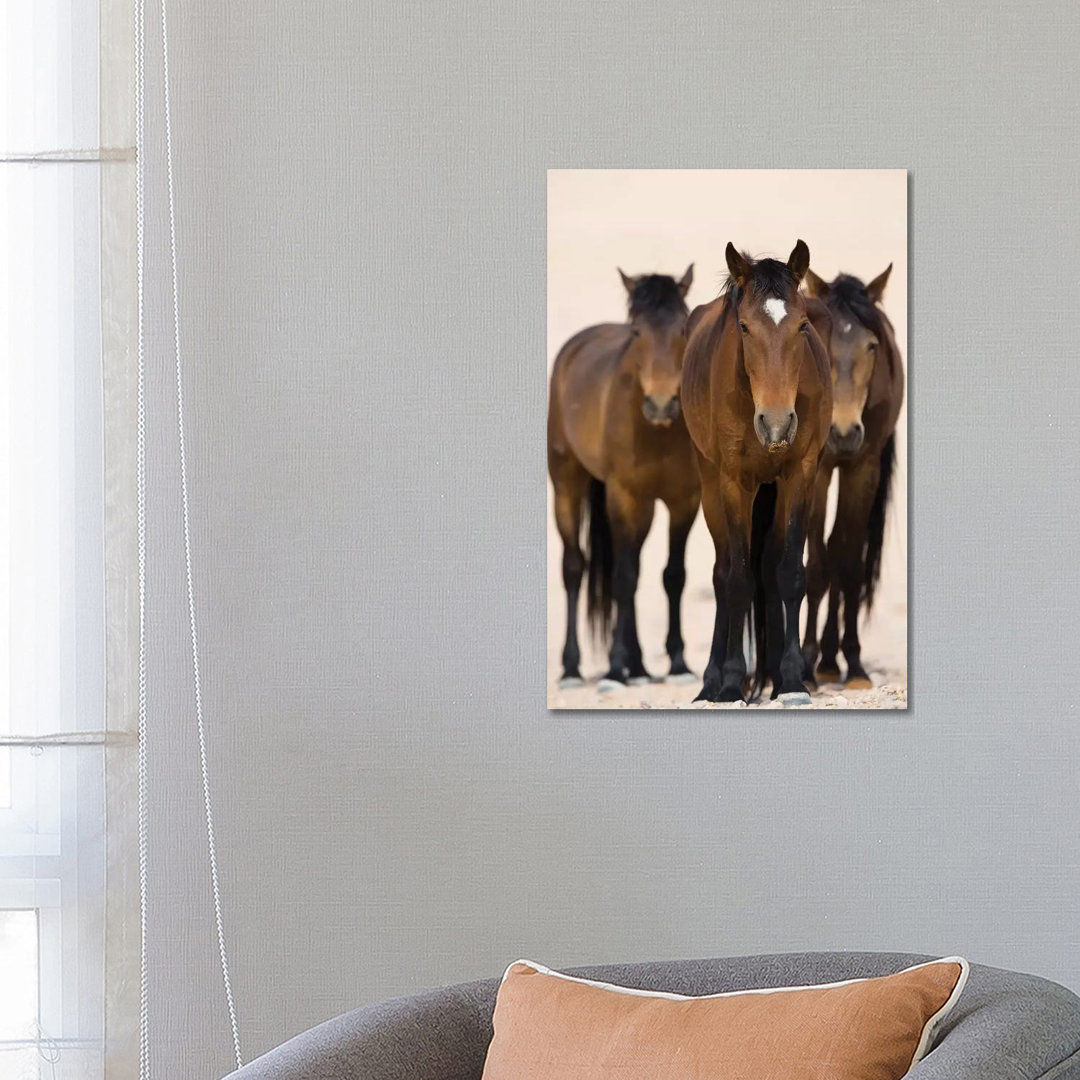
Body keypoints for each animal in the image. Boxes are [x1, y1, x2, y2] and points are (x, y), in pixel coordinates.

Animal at [548, 265, 700, 690]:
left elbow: (672, 575)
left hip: (644, 509)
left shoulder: (684, 501)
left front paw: (678, 664)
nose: (661, 405)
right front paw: (615, 668)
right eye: (636, 333)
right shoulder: (623, 495)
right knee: (575, 568)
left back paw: (641, 666)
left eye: (682, 329)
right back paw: (572, 668)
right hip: (567, 485)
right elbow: (623, 577)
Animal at [681, 241, 833, 704]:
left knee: (766, 567)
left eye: (802, 325)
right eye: (744, 328)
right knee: (722, 572)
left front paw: (792, 678)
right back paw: (711, 682)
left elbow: (789, 573)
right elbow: (737, 579)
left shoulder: (800, 475)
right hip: (710, 486)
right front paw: (731, 681)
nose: (778, 424)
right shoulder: (734, 482)